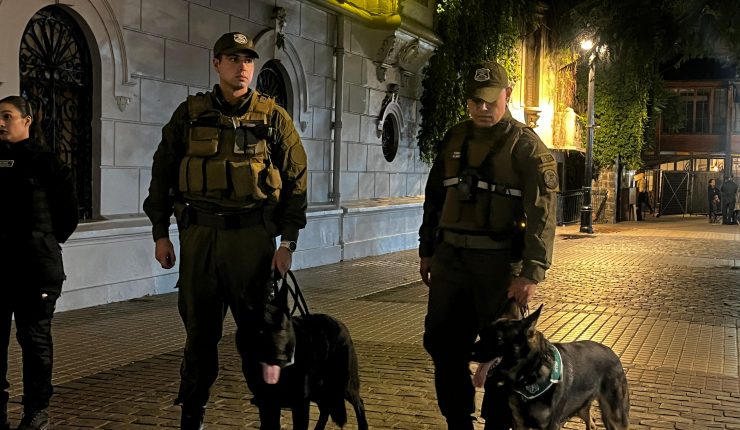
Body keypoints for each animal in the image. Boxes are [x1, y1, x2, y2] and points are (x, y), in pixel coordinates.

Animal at [243, 273, 369, 430]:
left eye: (282, 329)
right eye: (259, 331)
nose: (279, 356)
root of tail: (339, 323)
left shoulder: (300, 403)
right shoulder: (266, 403)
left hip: (343, 383)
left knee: (358, 403)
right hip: (319, 389)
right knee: (326, 408)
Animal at [472, 303, 629, 430]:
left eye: (498, 339)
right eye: (481, 334)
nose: (469, 351)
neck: (530, 375)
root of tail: (612, 353)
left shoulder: (551, 425)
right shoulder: (519, 423)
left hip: (615, 418)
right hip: (581, 406)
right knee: (590, 422)